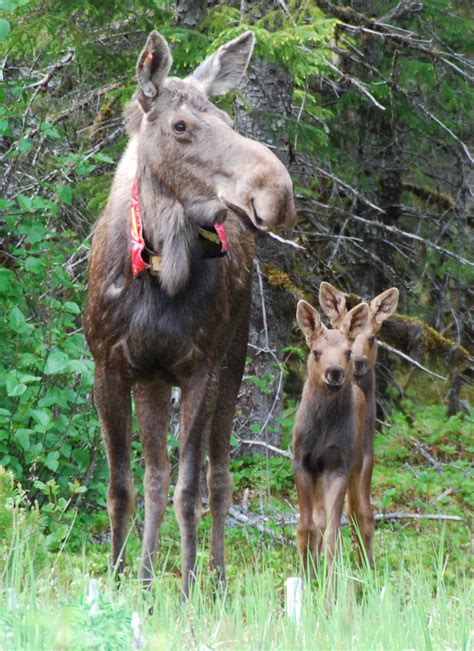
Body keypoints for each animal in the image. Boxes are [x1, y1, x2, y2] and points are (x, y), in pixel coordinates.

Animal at [83, 29, 294, 596]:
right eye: (180, 125)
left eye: (226, 118)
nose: (277, 191)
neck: (161, 265)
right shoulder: (109, 368)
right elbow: (122, 487)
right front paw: (118, 581)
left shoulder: (200, 368)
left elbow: (190, 488)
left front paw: (187, 588)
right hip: (155, 380)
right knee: (155, 476)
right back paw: (144, 578)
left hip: (233, 359)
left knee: (218, 478)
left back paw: (214, 580)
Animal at [292, 298, 370, 580]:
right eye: (316, 352)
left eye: (348, 352)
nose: (334, 372)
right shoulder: (302, 462)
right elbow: (305, 527)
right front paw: (305, 577)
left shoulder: (338, 467)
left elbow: (332, 533)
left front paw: (330, 585)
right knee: (318, 519)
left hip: (360, 464)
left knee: (361, 515)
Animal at [318, 282, 400, 564]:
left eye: (374, 337)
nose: (359, 361)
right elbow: (355, 514)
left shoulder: (366, 458)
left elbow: (360, 513)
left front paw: (365, 563)